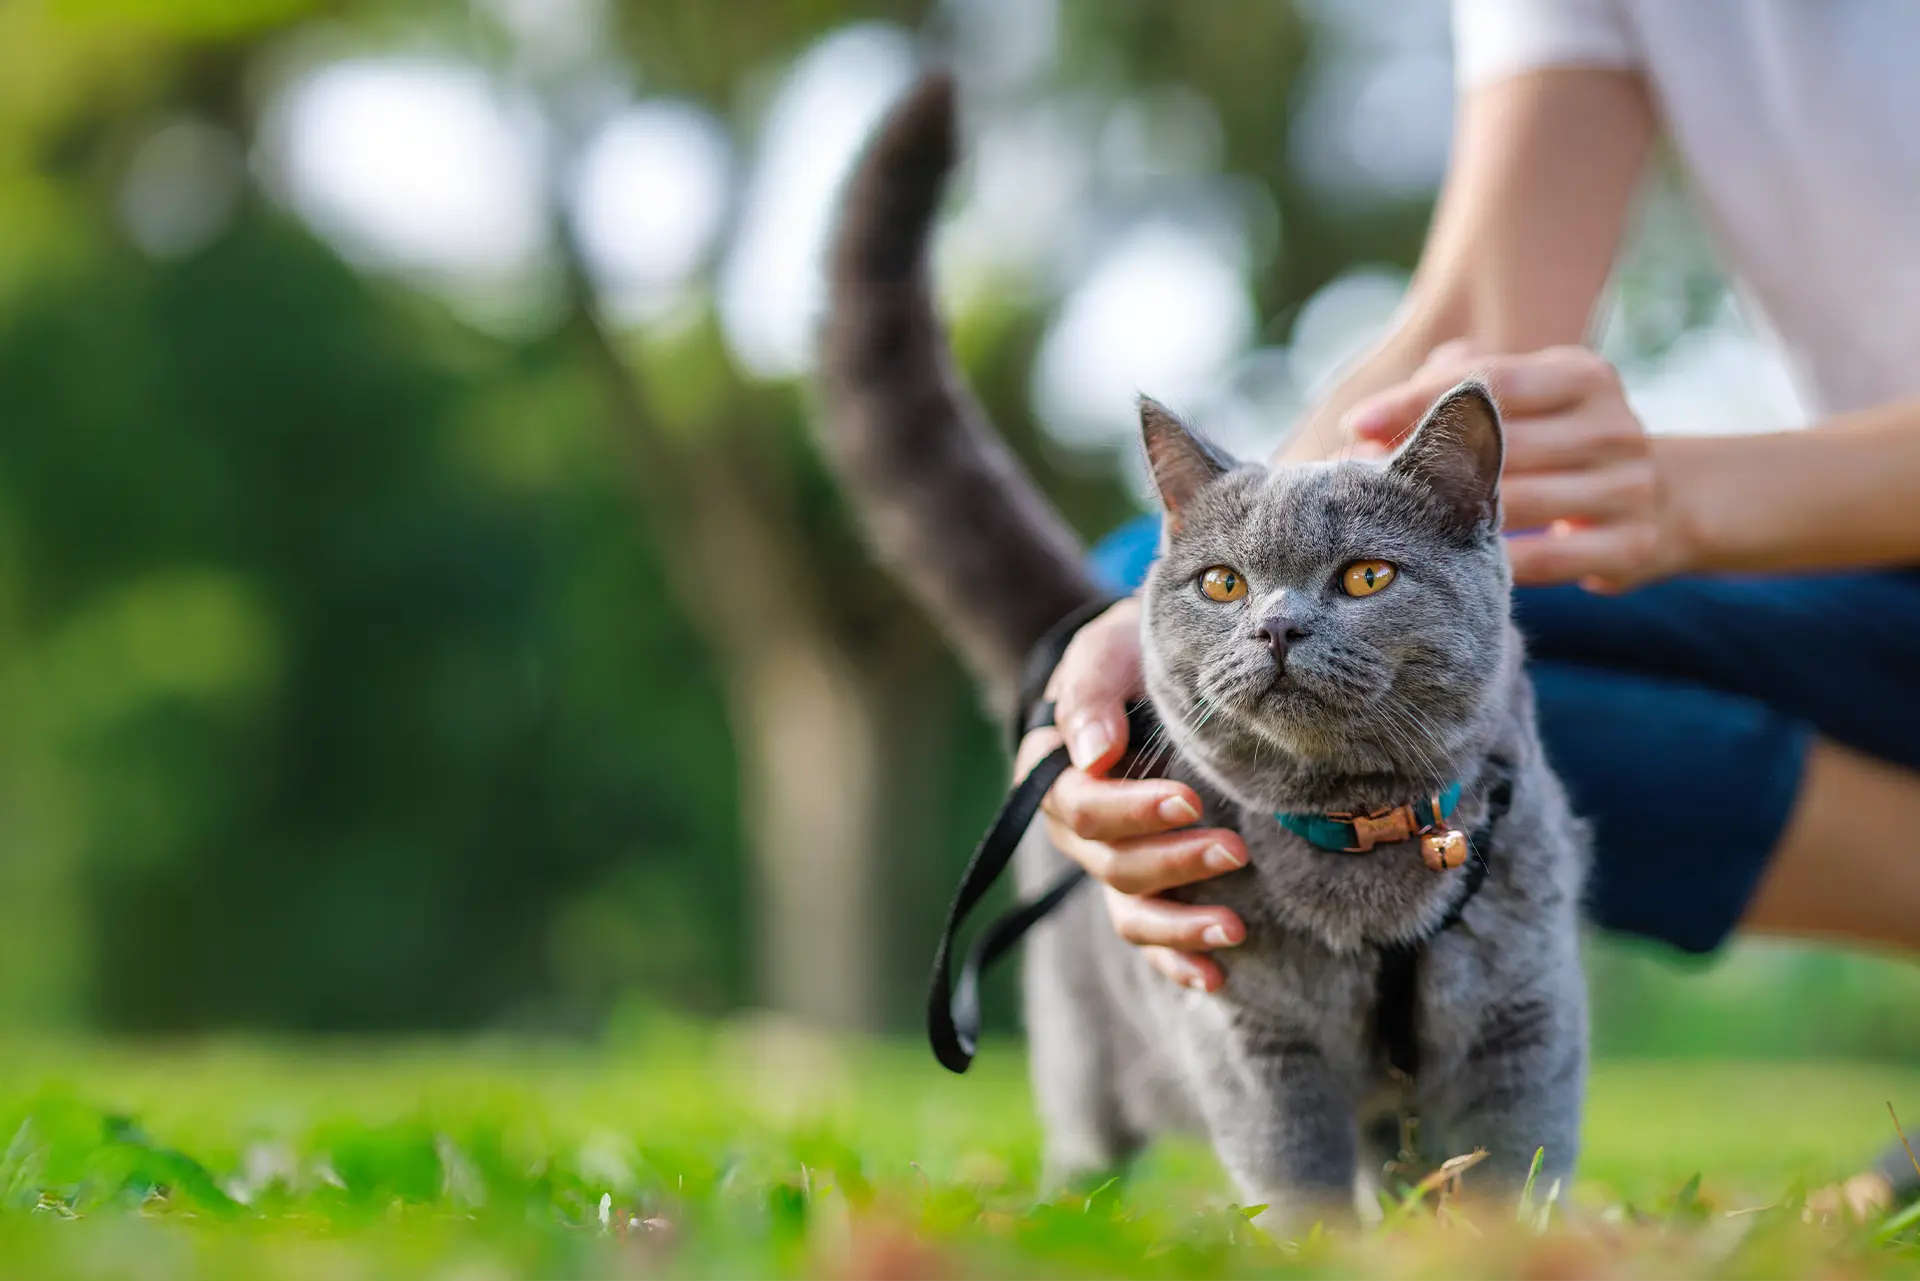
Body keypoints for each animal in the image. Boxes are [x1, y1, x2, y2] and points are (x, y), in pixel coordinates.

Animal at [817, 75, 1582, 1229]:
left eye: (1366, 576)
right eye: (1222, 584)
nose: (1276, 625)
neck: (1361, 841)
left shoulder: (1525, 1023)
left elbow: (1512, 1169)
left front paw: (1504, 1242)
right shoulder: (1247, 1032)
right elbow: (1297, 1179)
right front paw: (1322, 1248)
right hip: (1087, 1045)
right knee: (1088, 1140)